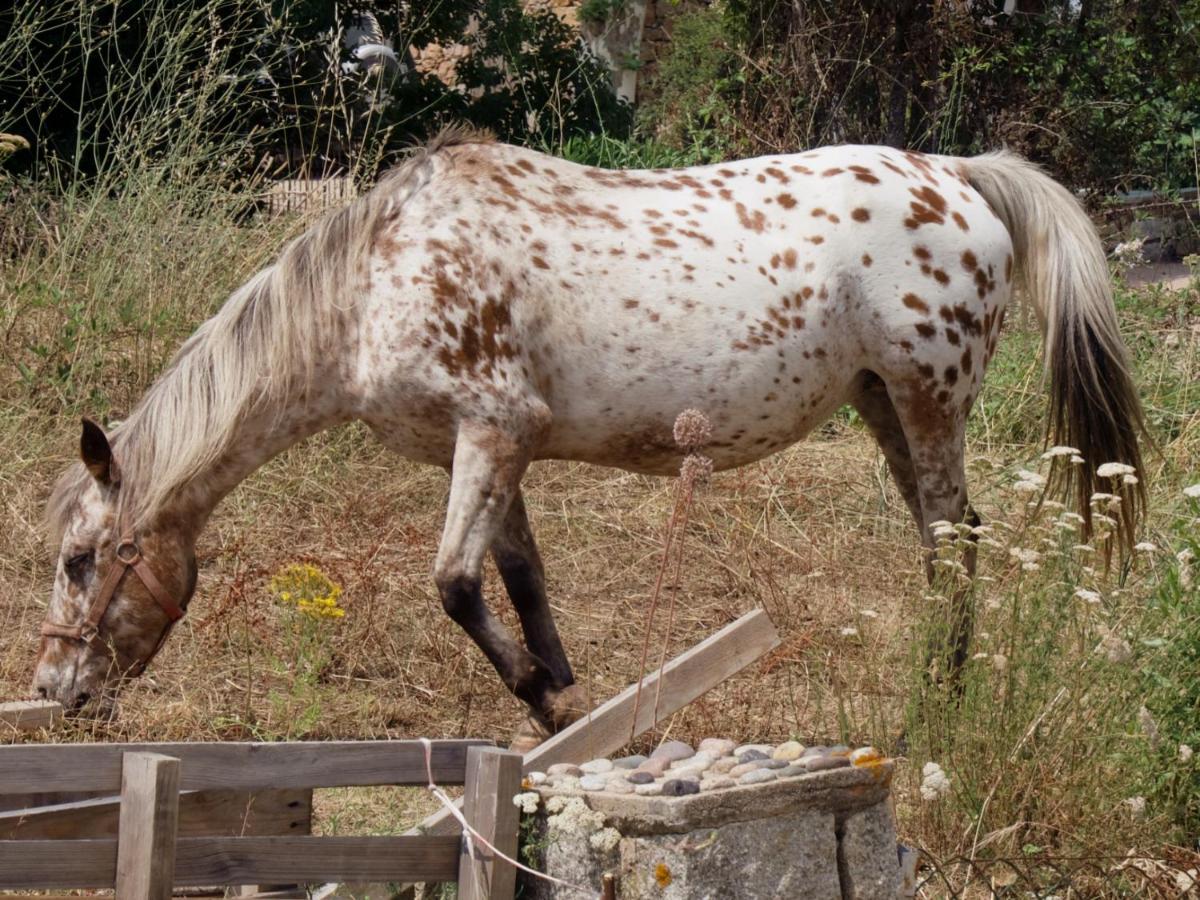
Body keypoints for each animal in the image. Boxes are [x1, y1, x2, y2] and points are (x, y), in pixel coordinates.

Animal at [32, 125, 1147, 748]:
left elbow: (455, 586)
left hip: (927, 399)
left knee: (954, 542)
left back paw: (936, 711)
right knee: (946, 539)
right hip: (882, 404)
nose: (54, 693)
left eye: (83, 561)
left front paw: (553, 706)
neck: (376, 280)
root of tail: (959, 174)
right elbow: (521, 583)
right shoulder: (494, 450)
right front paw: (572, 712)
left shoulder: (493, 431)